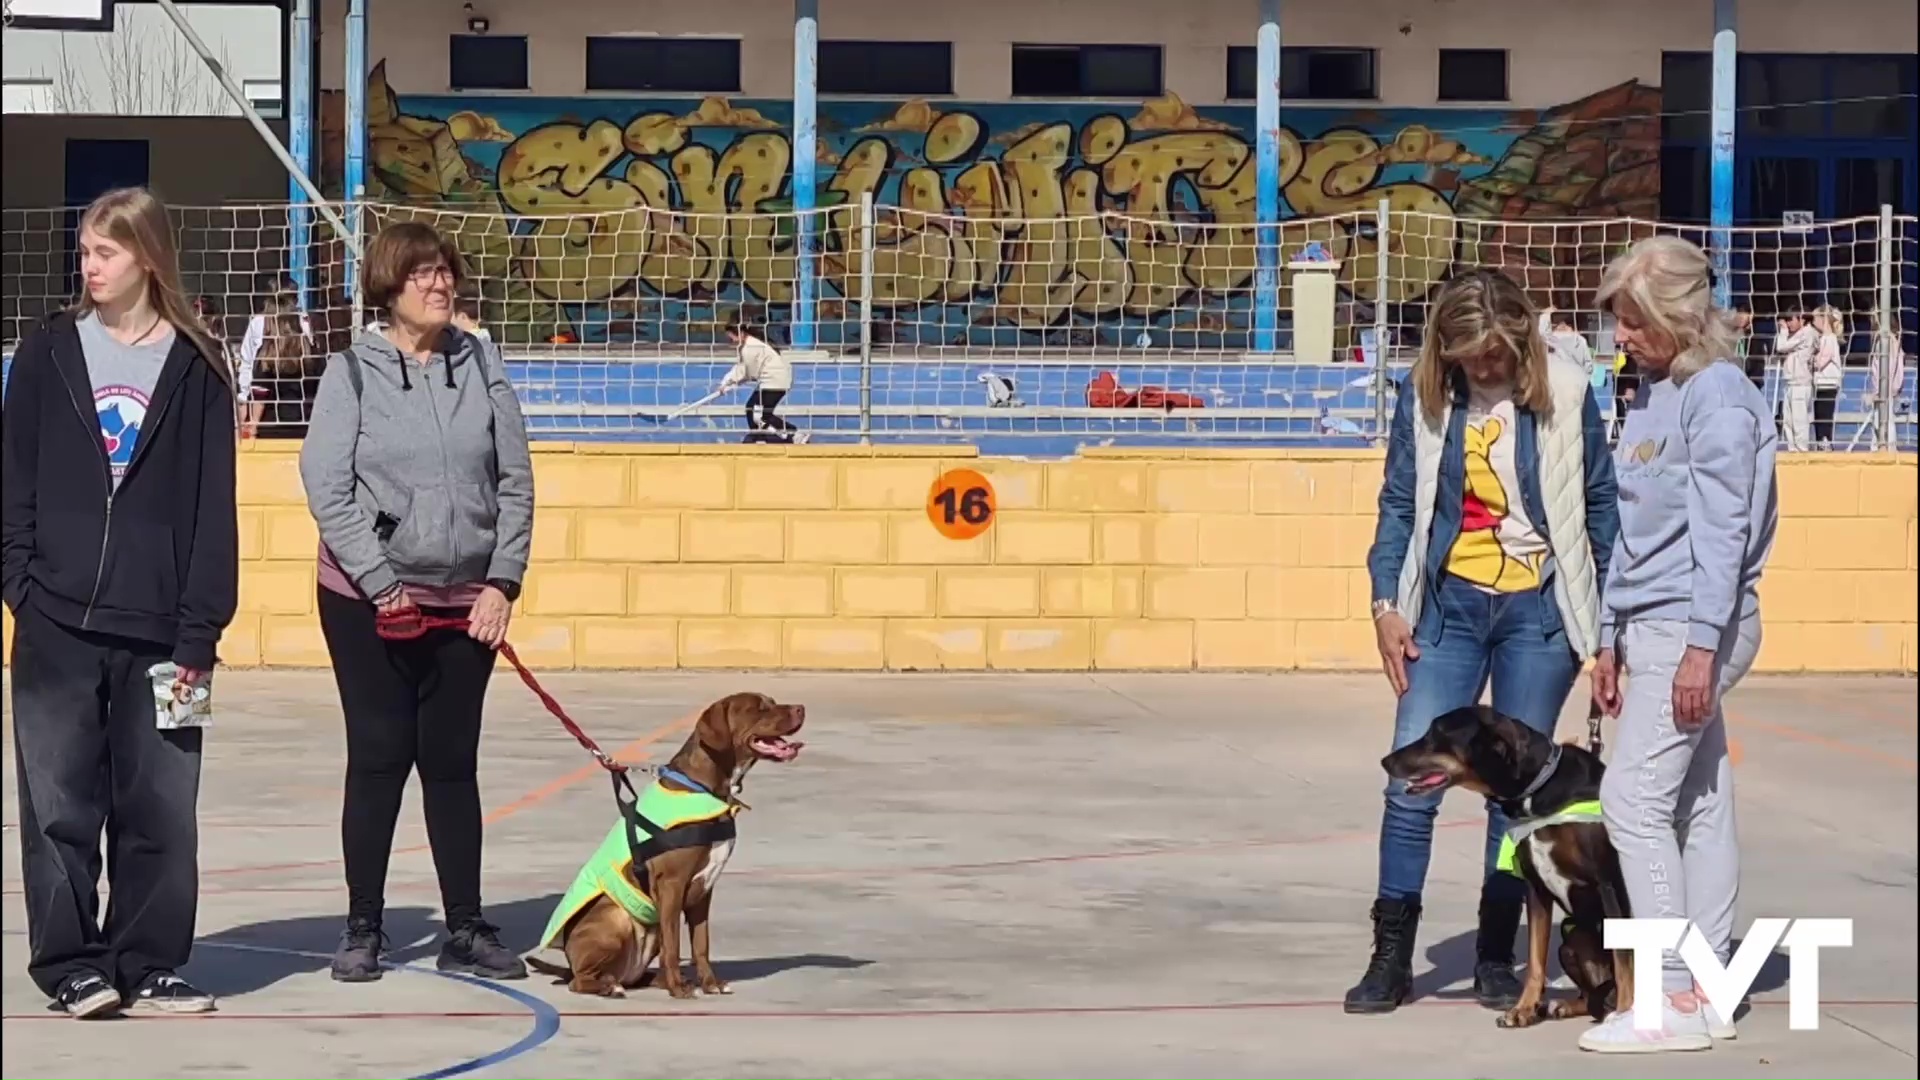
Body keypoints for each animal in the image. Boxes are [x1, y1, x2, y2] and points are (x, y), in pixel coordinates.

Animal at [526, 691, 802, 999]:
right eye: (759, 708)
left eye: (772, 701)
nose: (801, 708)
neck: (705, 787)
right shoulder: (671, 885)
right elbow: (674, 946)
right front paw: (679, 989)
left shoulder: (704, 891)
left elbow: (701, 945)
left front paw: (710, 983)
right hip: (617, 917)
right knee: (579, 981)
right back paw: (610, 986)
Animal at [1382, 703, 1635, 1022]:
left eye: (1435, 734)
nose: (1385, 761)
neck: (1538, 790)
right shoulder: (1536, 888)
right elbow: (1536, 960)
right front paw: (1523, 1010)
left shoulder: (1609, 883)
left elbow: (1624, 960)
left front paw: (1628, 1013)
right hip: (1572, 936)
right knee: (1594, 994)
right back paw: (1569, 1005)